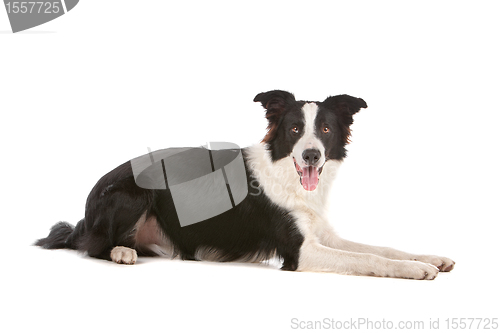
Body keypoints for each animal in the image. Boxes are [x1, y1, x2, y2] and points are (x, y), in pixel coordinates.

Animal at [37, 89, 456, 278]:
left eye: (324, 129)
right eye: (294, 129)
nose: (311, 155)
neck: (287, 176)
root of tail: (84, 214)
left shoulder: (323, 234)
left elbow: (382, 247)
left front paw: (427, 258)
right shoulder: (299, 252)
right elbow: (368, 258)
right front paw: (416, 270)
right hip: (133, 192)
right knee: (92, 246)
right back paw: (120, 252)